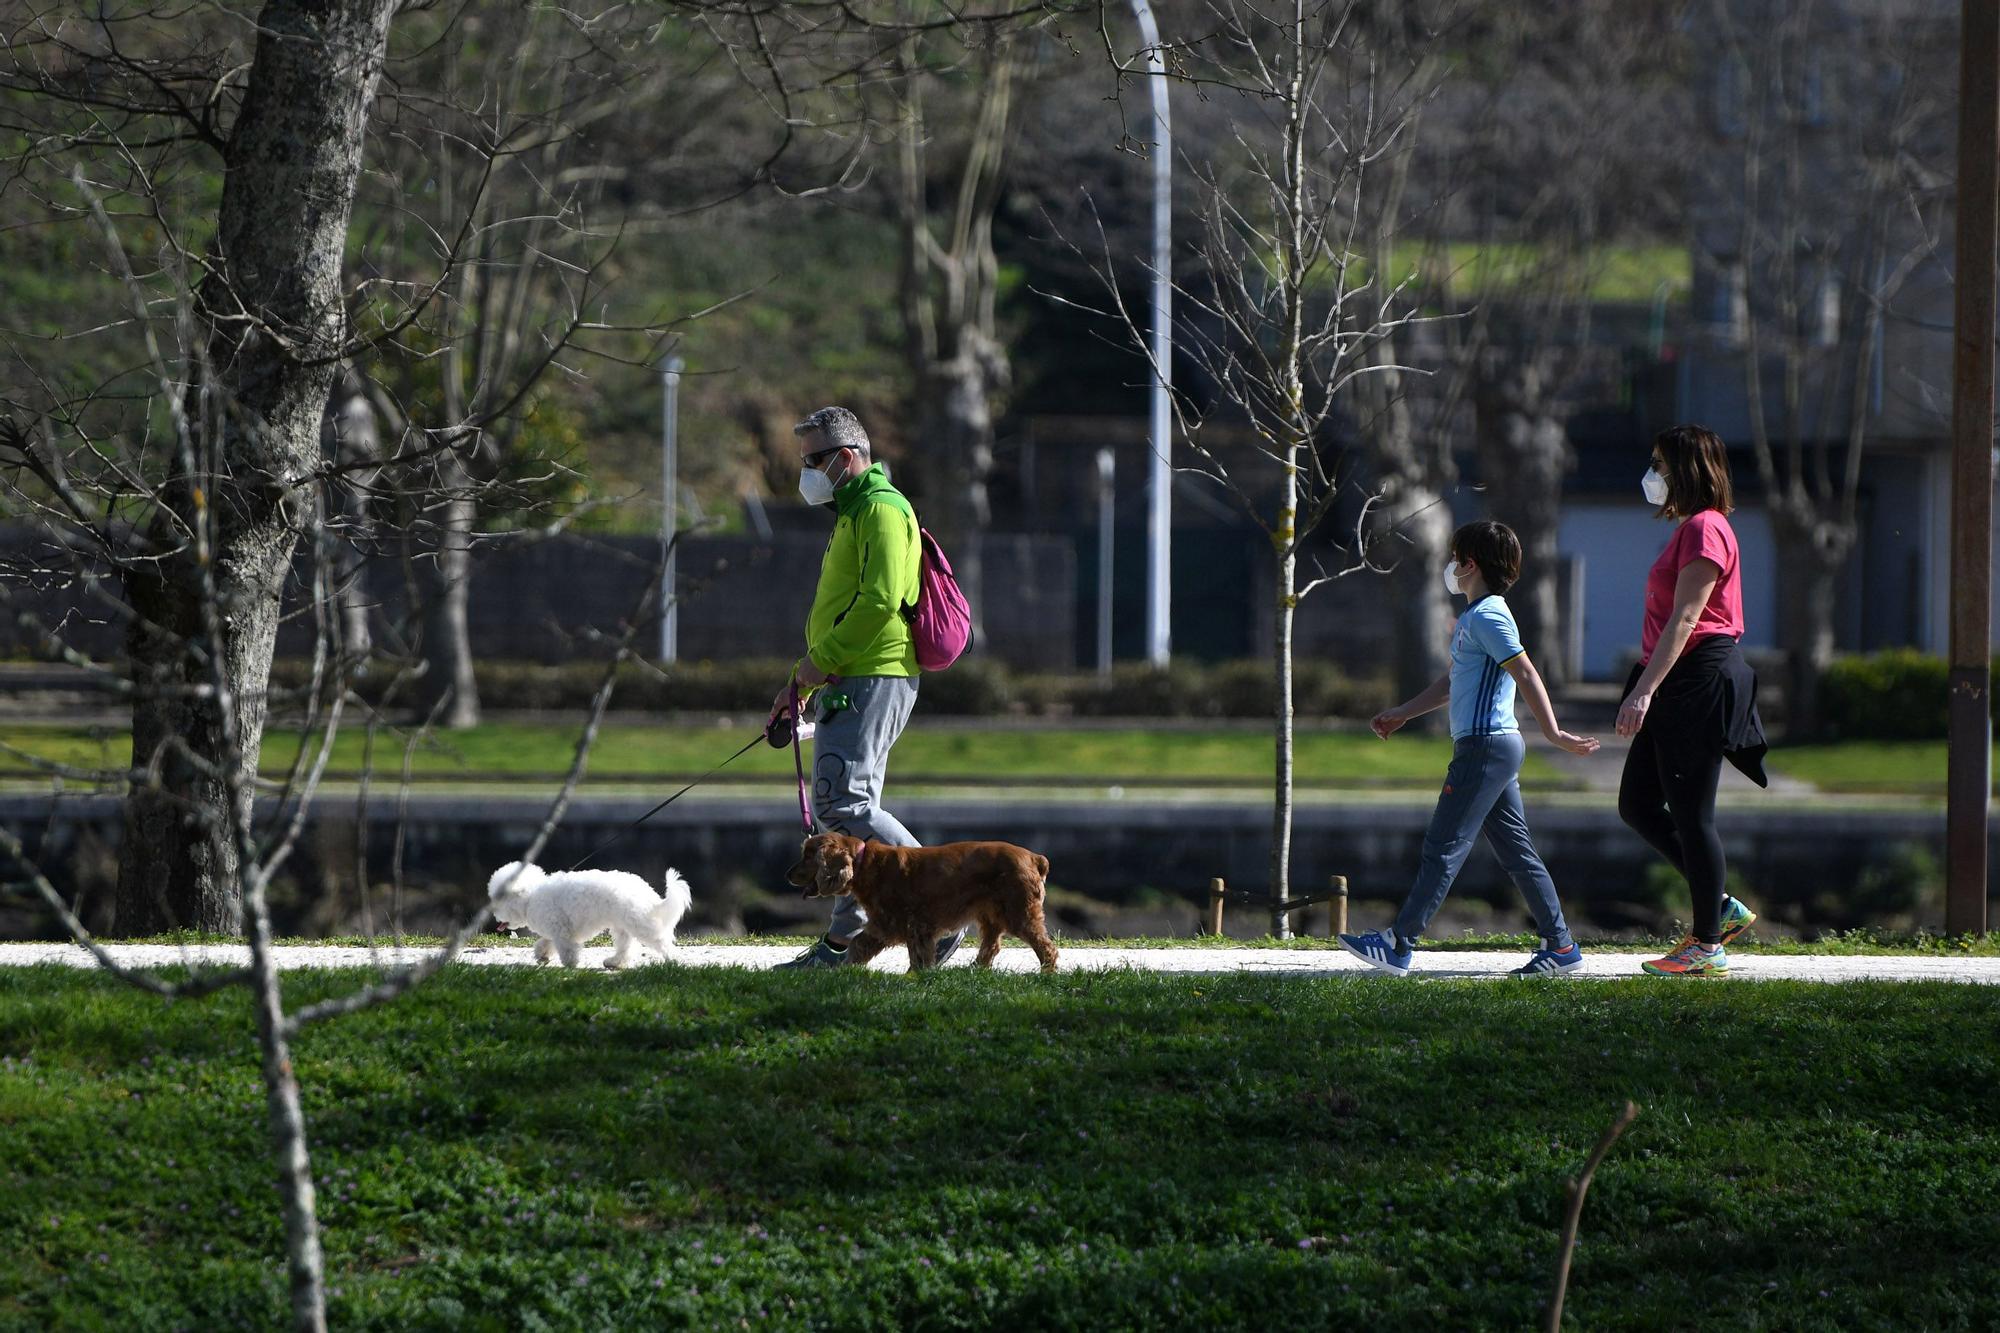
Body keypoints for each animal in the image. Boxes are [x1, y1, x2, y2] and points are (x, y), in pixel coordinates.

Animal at [488, 860, 692, 964]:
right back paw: (614, 962)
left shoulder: (561, 930)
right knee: (626, 947)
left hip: (640, 924)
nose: (494, 915)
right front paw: (542, 954)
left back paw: (674, 960)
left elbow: (566, 948)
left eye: (498, 900)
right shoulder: (558, 930)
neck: (531, 895)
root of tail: (647, 891)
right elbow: (546, 942)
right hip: (622, 925)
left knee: (661, 941)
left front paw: (570, 964)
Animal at [784, 832, 1064, 964]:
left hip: (1019, 913)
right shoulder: (903, 926)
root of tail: (1035, 858)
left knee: (1046, 947)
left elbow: (863, 944)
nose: (787, 874)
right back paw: (974, 970)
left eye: (808, 856)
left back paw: (1046, 973)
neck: (867, 862)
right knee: (991, 946)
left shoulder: (901, 923)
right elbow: (866, 946)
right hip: (991, 916)